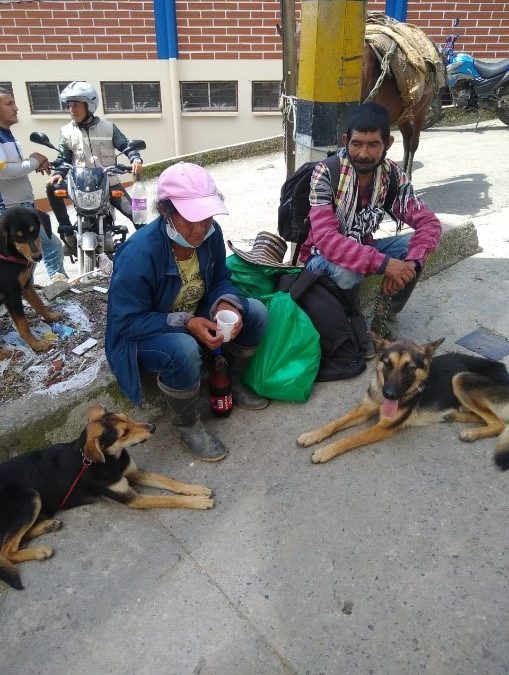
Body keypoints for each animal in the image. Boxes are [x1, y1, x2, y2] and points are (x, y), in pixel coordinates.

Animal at [0, 205, 62, 354]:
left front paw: (50, 317)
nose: (38, 257)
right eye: (17, 237)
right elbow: (23, 324)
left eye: (34, 230)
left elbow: (39, 303)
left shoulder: (26, 286)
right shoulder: (12, 295)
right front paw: (35, 344)